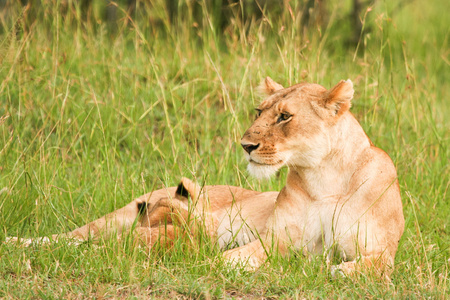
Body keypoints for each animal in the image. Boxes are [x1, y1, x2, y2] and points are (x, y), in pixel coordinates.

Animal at [9, 77, 404, 276]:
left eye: (284, 116)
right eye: (259, 110)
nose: (246, 145)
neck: (325, 179)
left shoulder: (382, 250)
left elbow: (372, 266)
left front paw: (339, 270)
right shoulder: (276, 239)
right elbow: (234, 257)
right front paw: (210, 263)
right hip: (118, 216)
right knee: (71, 237)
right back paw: (18, 243)